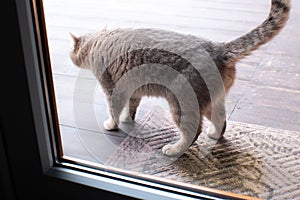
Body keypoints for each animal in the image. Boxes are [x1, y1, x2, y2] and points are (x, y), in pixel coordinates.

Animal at [69, 0, 290, 156]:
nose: (70, 56)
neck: (98, 41)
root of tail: (218, 48)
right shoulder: (132, 90)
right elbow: (130, 108)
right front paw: (127, 118)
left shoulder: (112, 88)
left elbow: (113, 110)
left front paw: (112, 124)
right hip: (210, 102)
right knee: (221, 121)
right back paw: (214, 134)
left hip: (181, 103)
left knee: (193, 132)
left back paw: (173, 150)